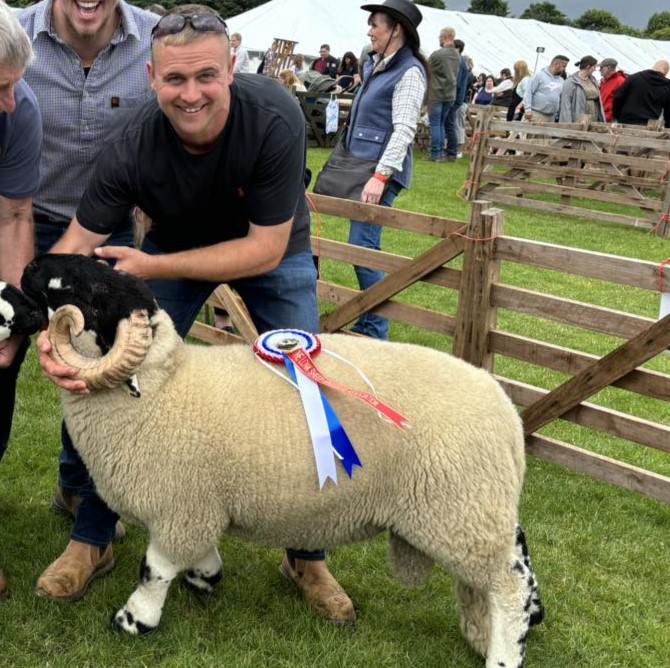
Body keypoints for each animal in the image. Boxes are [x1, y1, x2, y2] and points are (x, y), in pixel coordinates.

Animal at [17, 253, 544, 664]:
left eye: (92, 292)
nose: (32, 264)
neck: (161, 389)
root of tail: (505, 410)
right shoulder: (201, 505)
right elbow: (201, 552)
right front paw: (205, 575)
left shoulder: (179, 507)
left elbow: (155, 569)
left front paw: (135, 618)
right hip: (480, 509)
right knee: (510, 564)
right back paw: (485, 634)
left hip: (458, 511)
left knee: (508, 588)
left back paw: (501, 656)